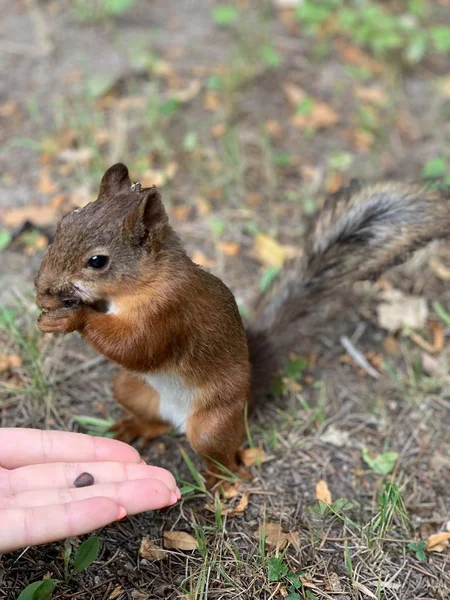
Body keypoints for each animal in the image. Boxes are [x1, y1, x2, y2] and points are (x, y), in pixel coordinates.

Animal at [34, 163, 450, 488]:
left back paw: (221, 482)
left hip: (213, 425)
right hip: (130, 389)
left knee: (223, 454)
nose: (43, 285)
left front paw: (73, 316)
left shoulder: (169, 313)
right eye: (66, 220)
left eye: (98, 261)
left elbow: (138, 348)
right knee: (157, 421)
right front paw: (51, 305)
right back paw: (137, 427)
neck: (141, 284)